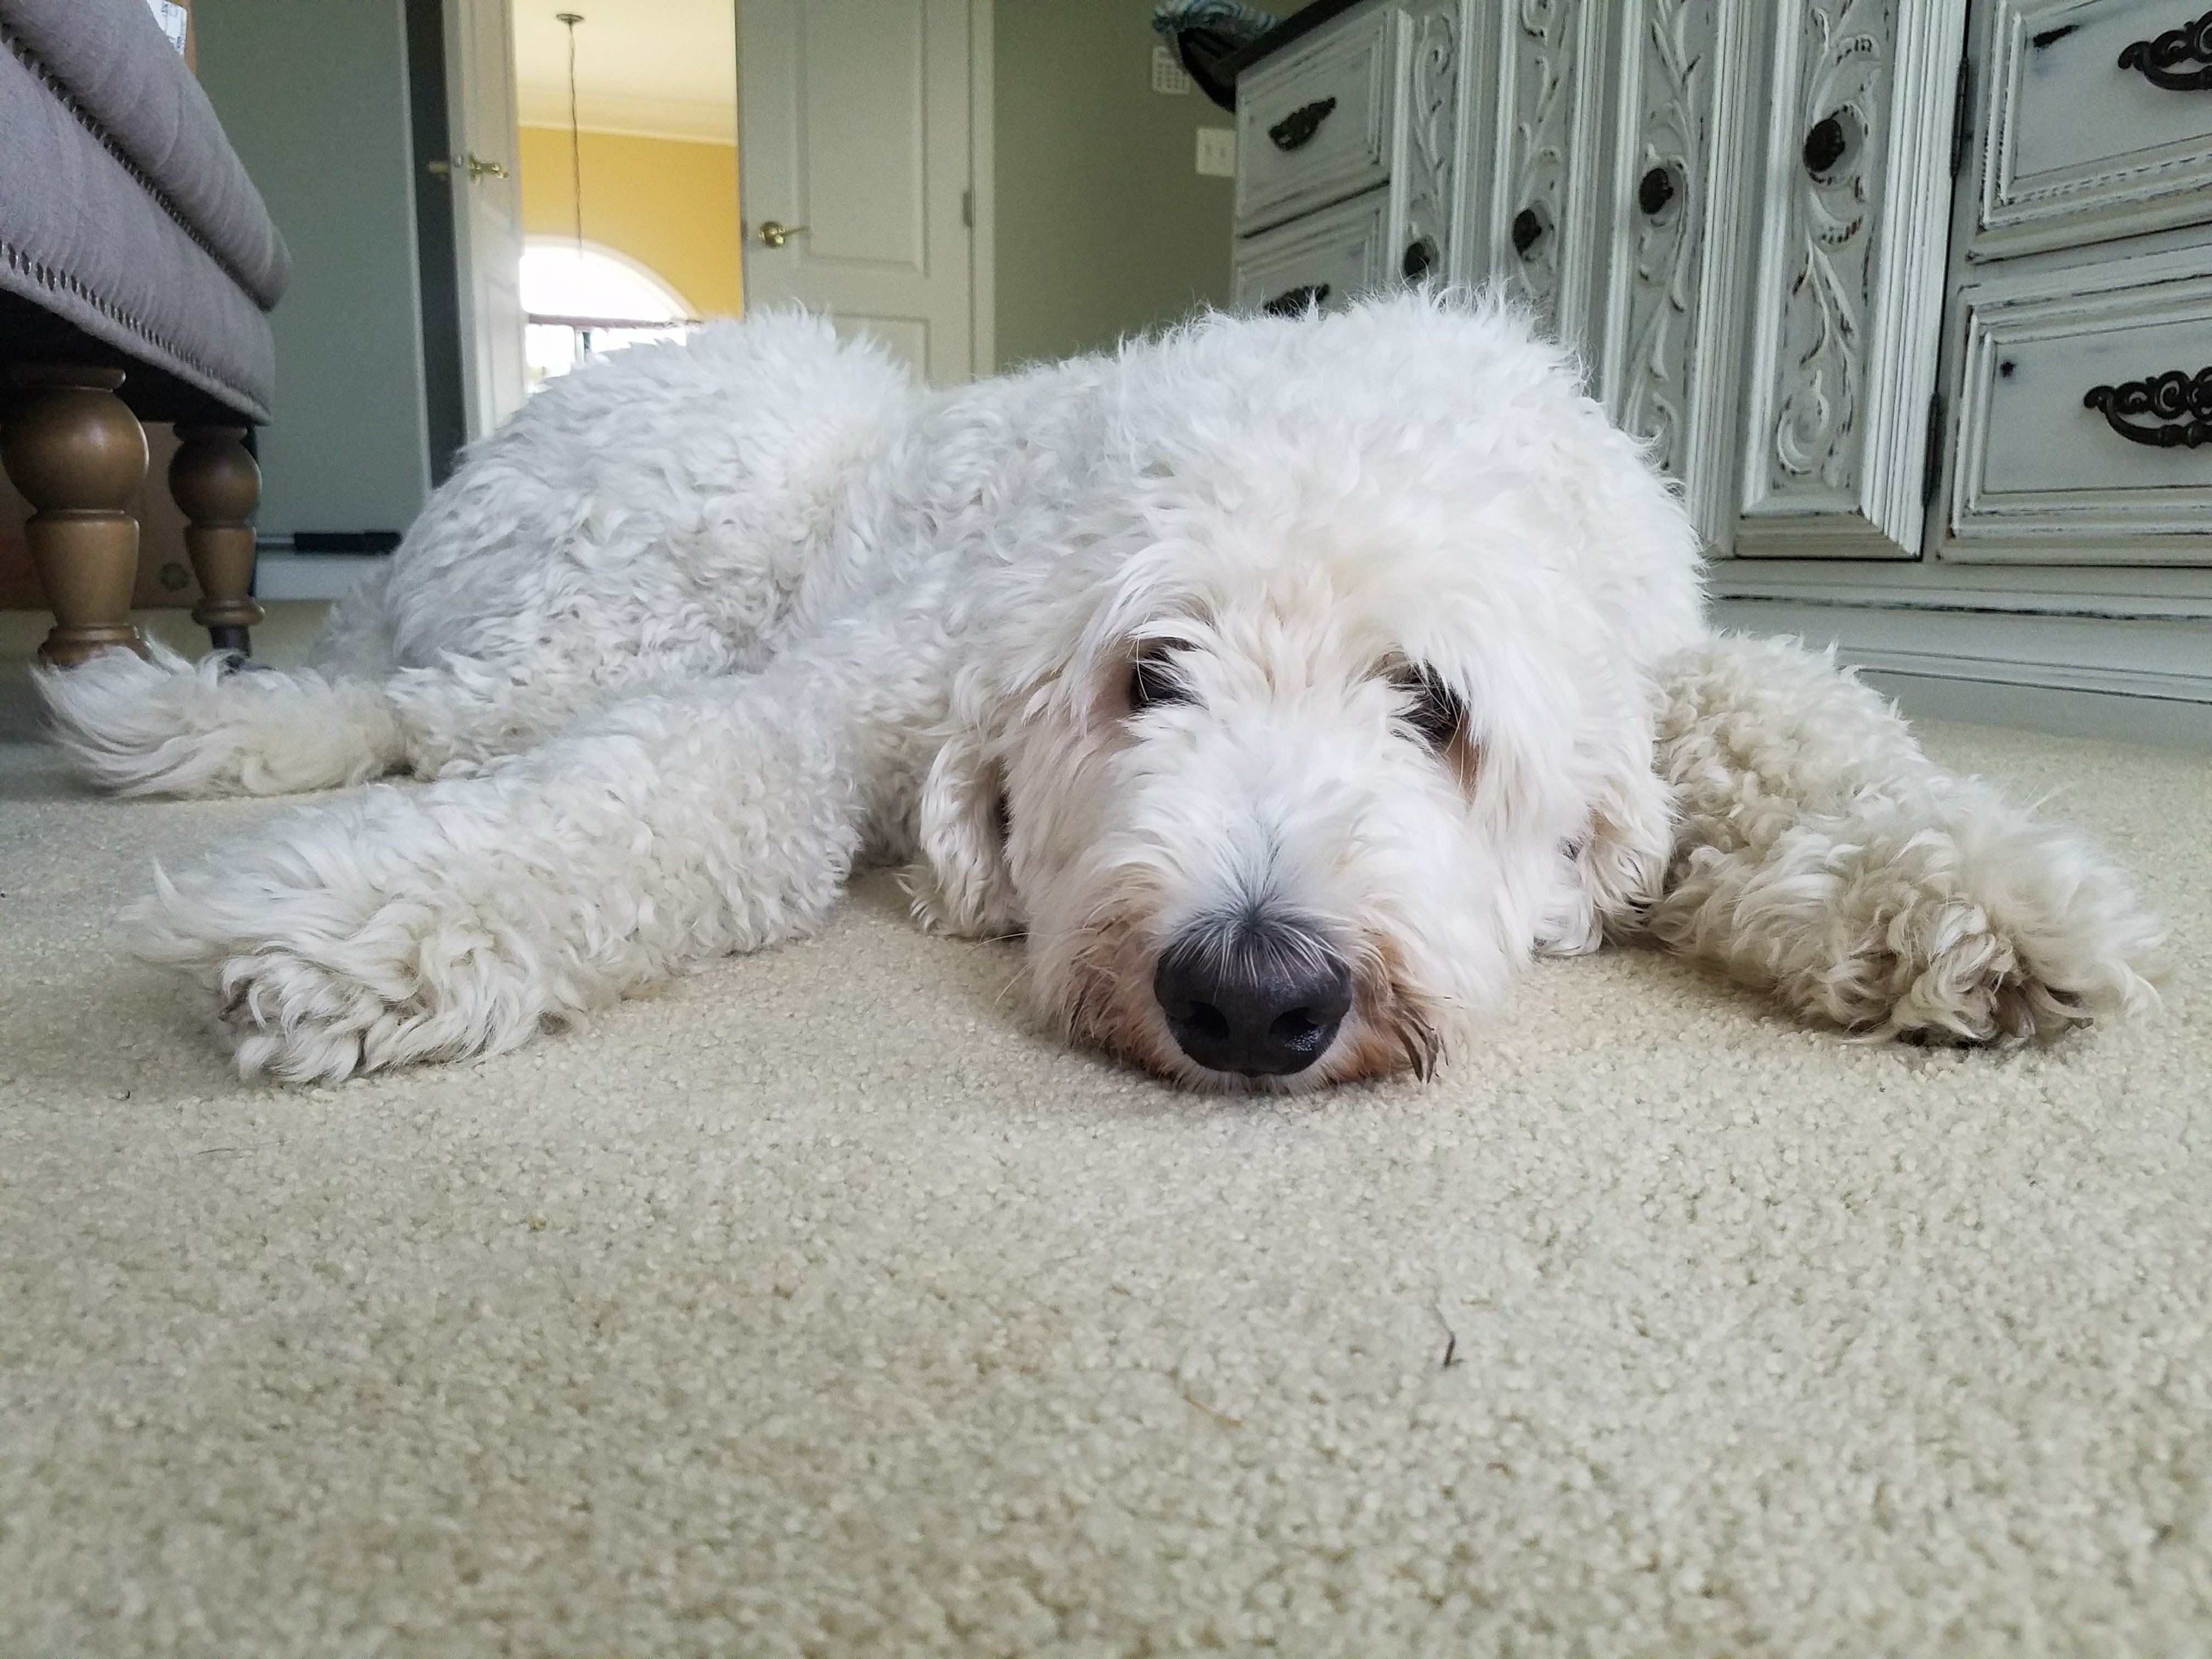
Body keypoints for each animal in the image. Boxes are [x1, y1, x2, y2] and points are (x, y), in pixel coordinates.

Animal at [43, 290, 2168, 1092]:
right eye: (1149, 676)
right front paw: (386, 922)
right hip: (677, 531)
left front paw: (1979, 904)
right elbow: (683, 784)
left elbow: (1798, 719)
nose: (1253, 991)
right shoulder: (872, 674)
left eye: (1434, 708)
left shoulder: (1652, 657)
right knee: (463, 719)